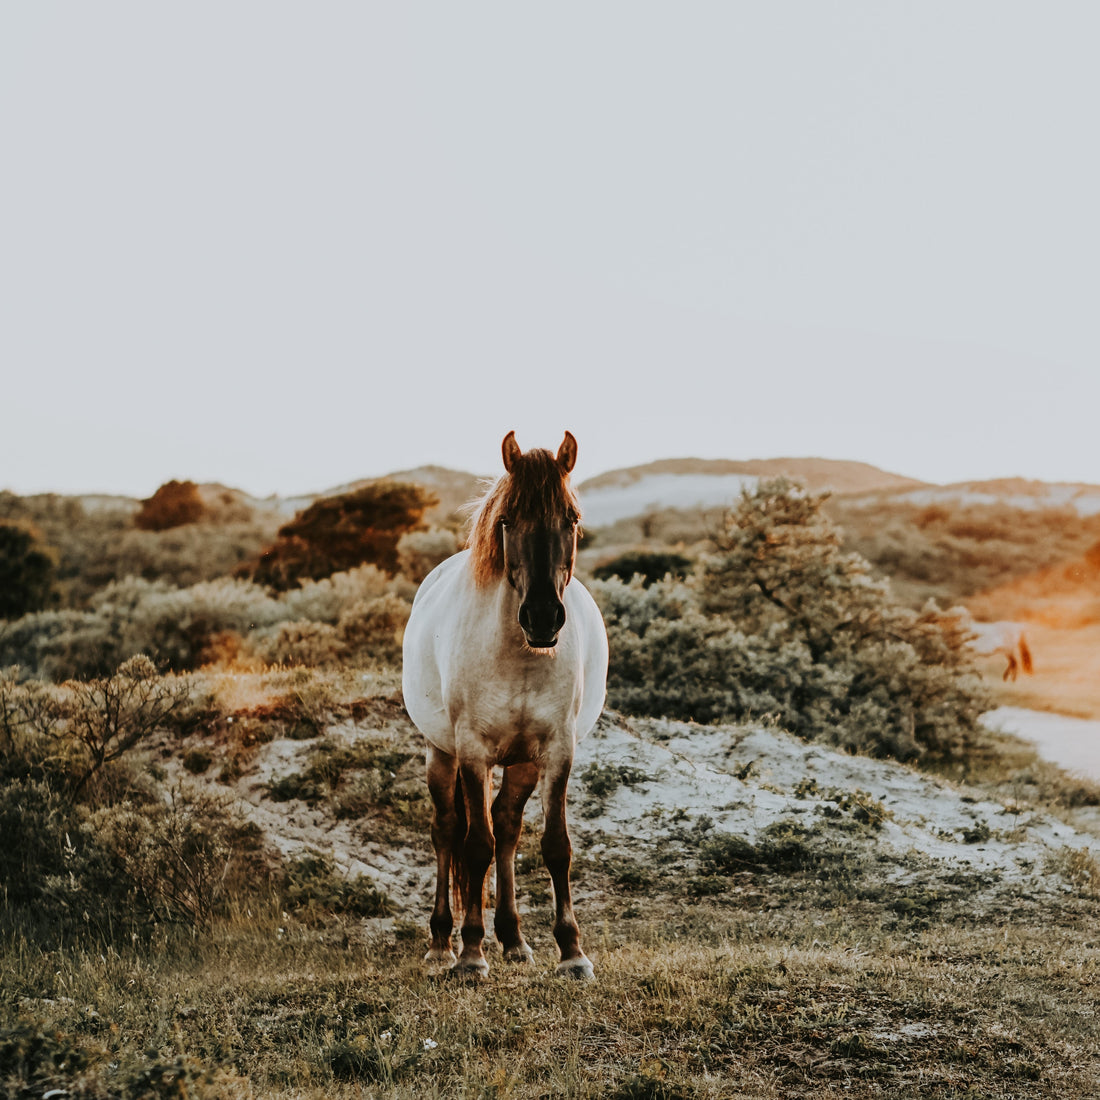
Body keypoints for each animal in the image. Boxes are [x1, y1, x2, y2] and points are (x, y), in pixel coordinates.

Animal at [402, 429, 611, 981]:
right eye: (506, 520)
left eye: (571, 518)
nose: (542, 617)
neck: (521, 655)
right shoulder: (473, 752)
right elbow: (476, 846)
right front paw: (471, 955)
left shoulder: (557, 752)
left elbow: (555, 846)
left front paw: (572, 952)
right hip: (441, 752)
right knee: (449, 830)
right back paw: (442, 943)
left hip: (521, 763)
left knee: (509, 828)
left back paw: (514, 939)